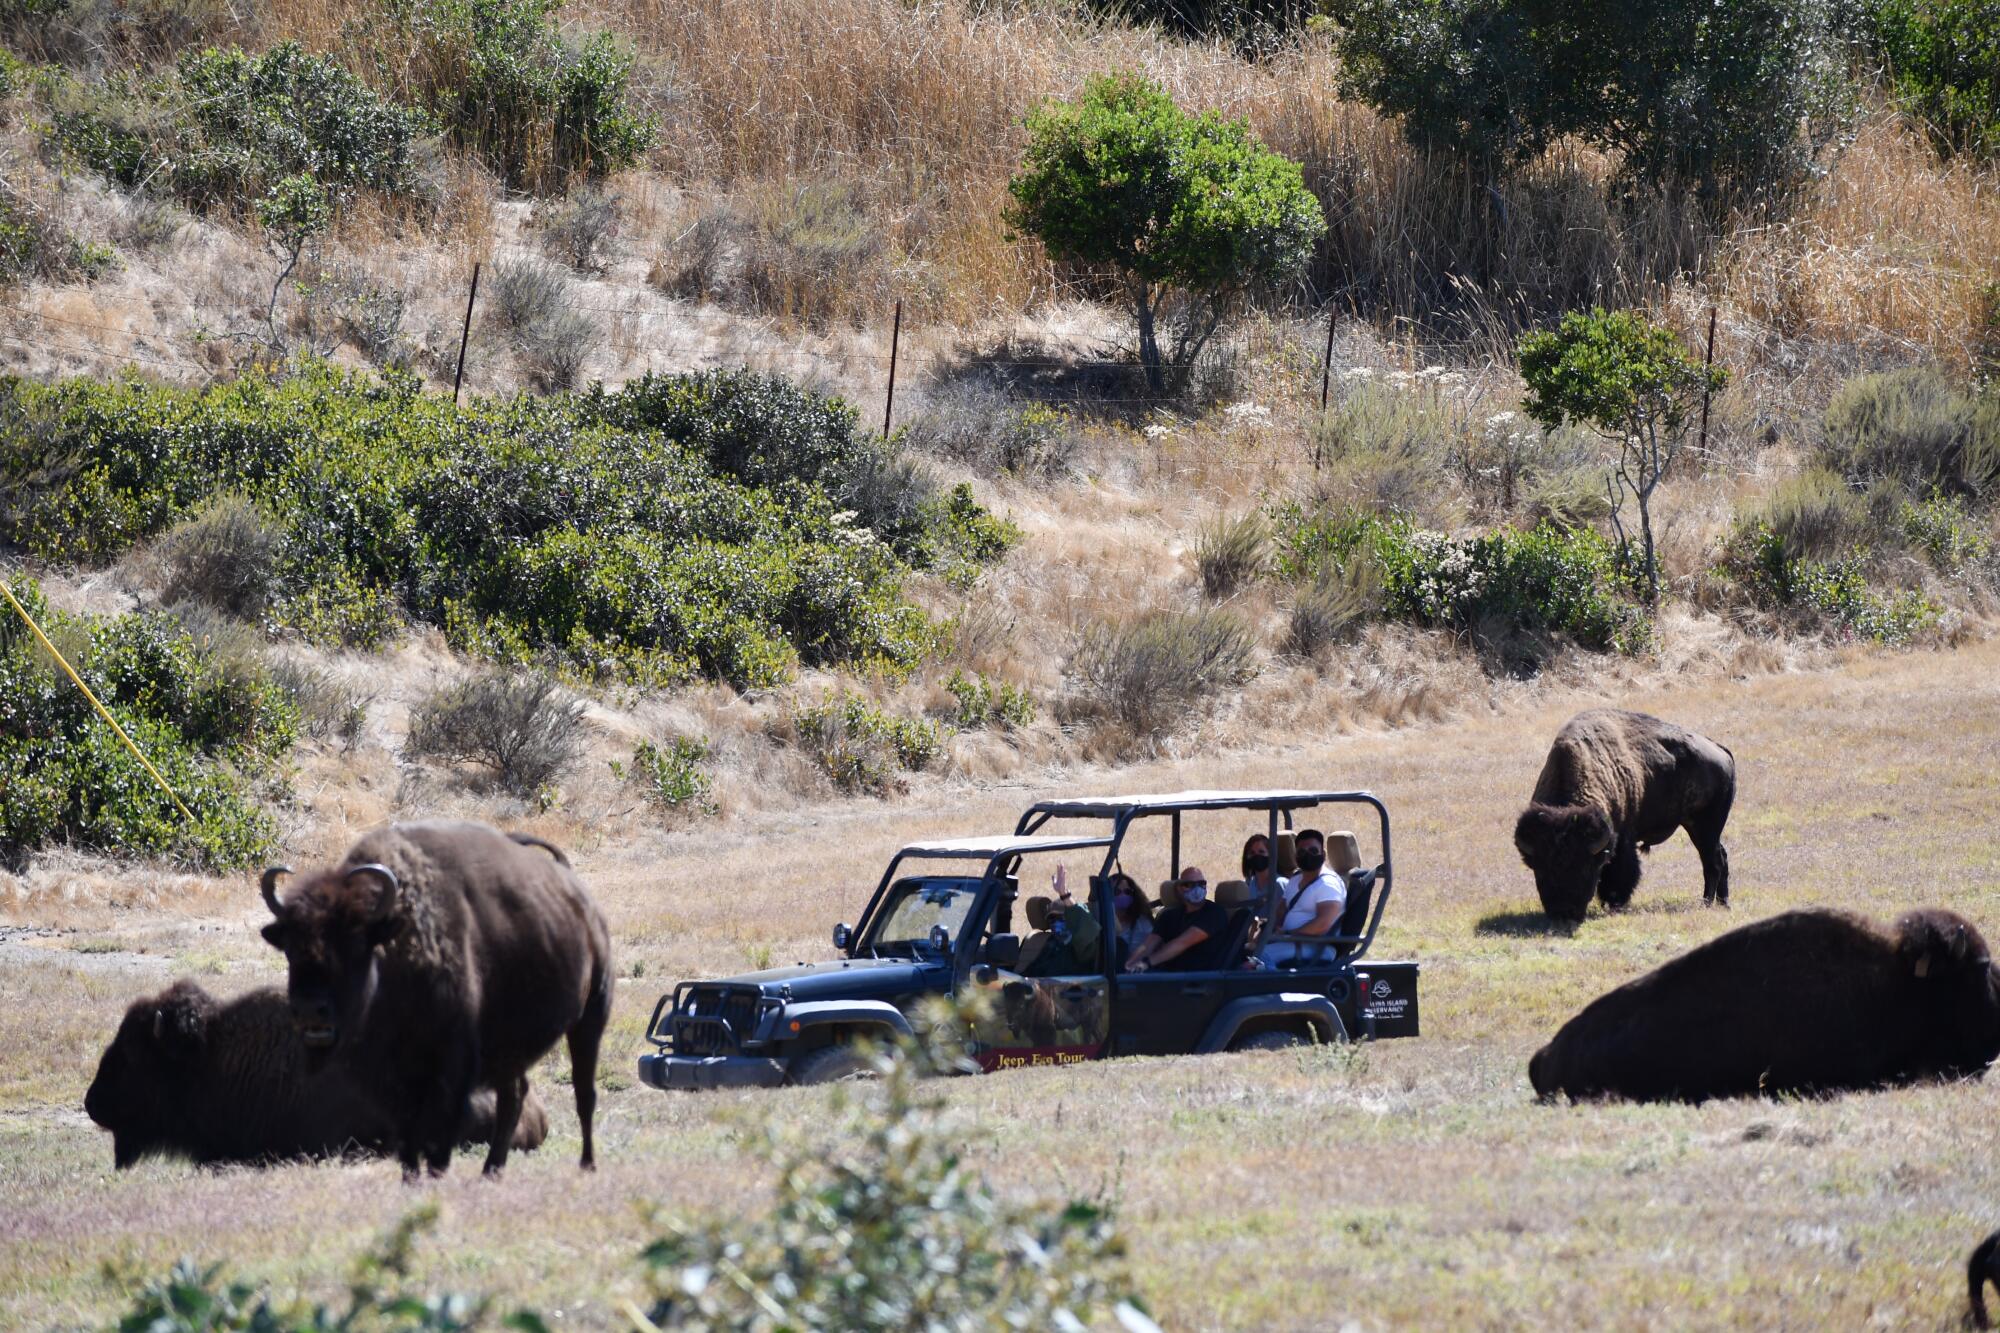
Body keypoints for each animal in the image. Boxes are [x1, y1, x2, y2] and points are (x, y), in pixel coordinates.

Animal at [262, 808, 612, 1176]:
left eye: (355, 945)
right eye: (290, 948)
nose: (309, 1010)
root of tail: (579, 897)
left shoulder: (451, 1072)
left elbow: (437, 1143)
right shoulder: (391, 1082)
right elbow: (409, 1140)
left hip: (592, 1015)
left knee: (584, 1092)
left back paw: (587, 1164)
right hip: (512, 1048)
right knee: (514, 1097)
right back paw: (492, 1171)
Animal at [1504, 712, 1728, 920]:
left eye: (1584, 869)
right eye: (1540, 870)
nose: (1563, 913)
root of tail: (1721, 751)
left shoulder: (1622, 839)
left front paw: (1615, 903)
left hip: (1706, 827)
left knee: (1712, 862)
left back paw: (1707, 903)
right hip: (1697, 827)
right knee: (1721, 857)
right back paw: (1723, 903)